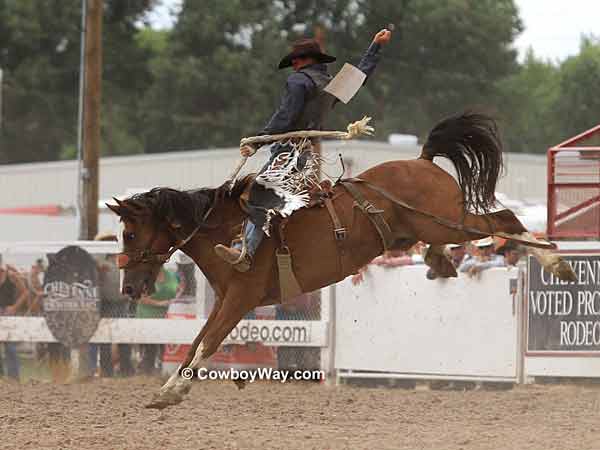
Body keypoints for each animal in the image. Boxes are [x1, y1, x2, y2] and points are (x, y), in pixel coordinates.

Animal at [106, 112, 576, 408]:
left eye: (129, 233)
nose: (128, 287)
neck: (227, 229)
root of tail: (422, 160)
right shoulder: (223, 300)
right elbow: (195, 343)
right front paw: (168, 391)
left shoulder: (240, 299)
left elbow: (207, 343)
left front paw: (172, 392)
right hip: (434, 227)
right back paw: (441, 263)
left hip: (450, 222)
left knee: (505, 218)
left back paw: (557, 263)